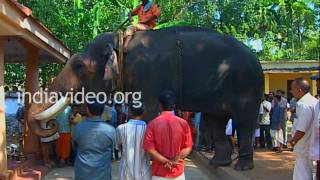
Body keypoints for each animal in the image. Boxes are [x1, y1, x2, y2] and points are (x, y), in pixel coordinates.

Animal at [28, 26, 262, 170]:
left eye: (78, 66)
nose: (51, 124)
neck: (122, 40)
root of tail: (255, 57)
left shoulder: (148, 74)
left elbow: (150, 112)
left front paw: (150, 160)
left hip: (247, 86)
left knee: (243, 122)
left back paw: (242, 166)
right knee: (215, 121)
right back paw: (218, 164)